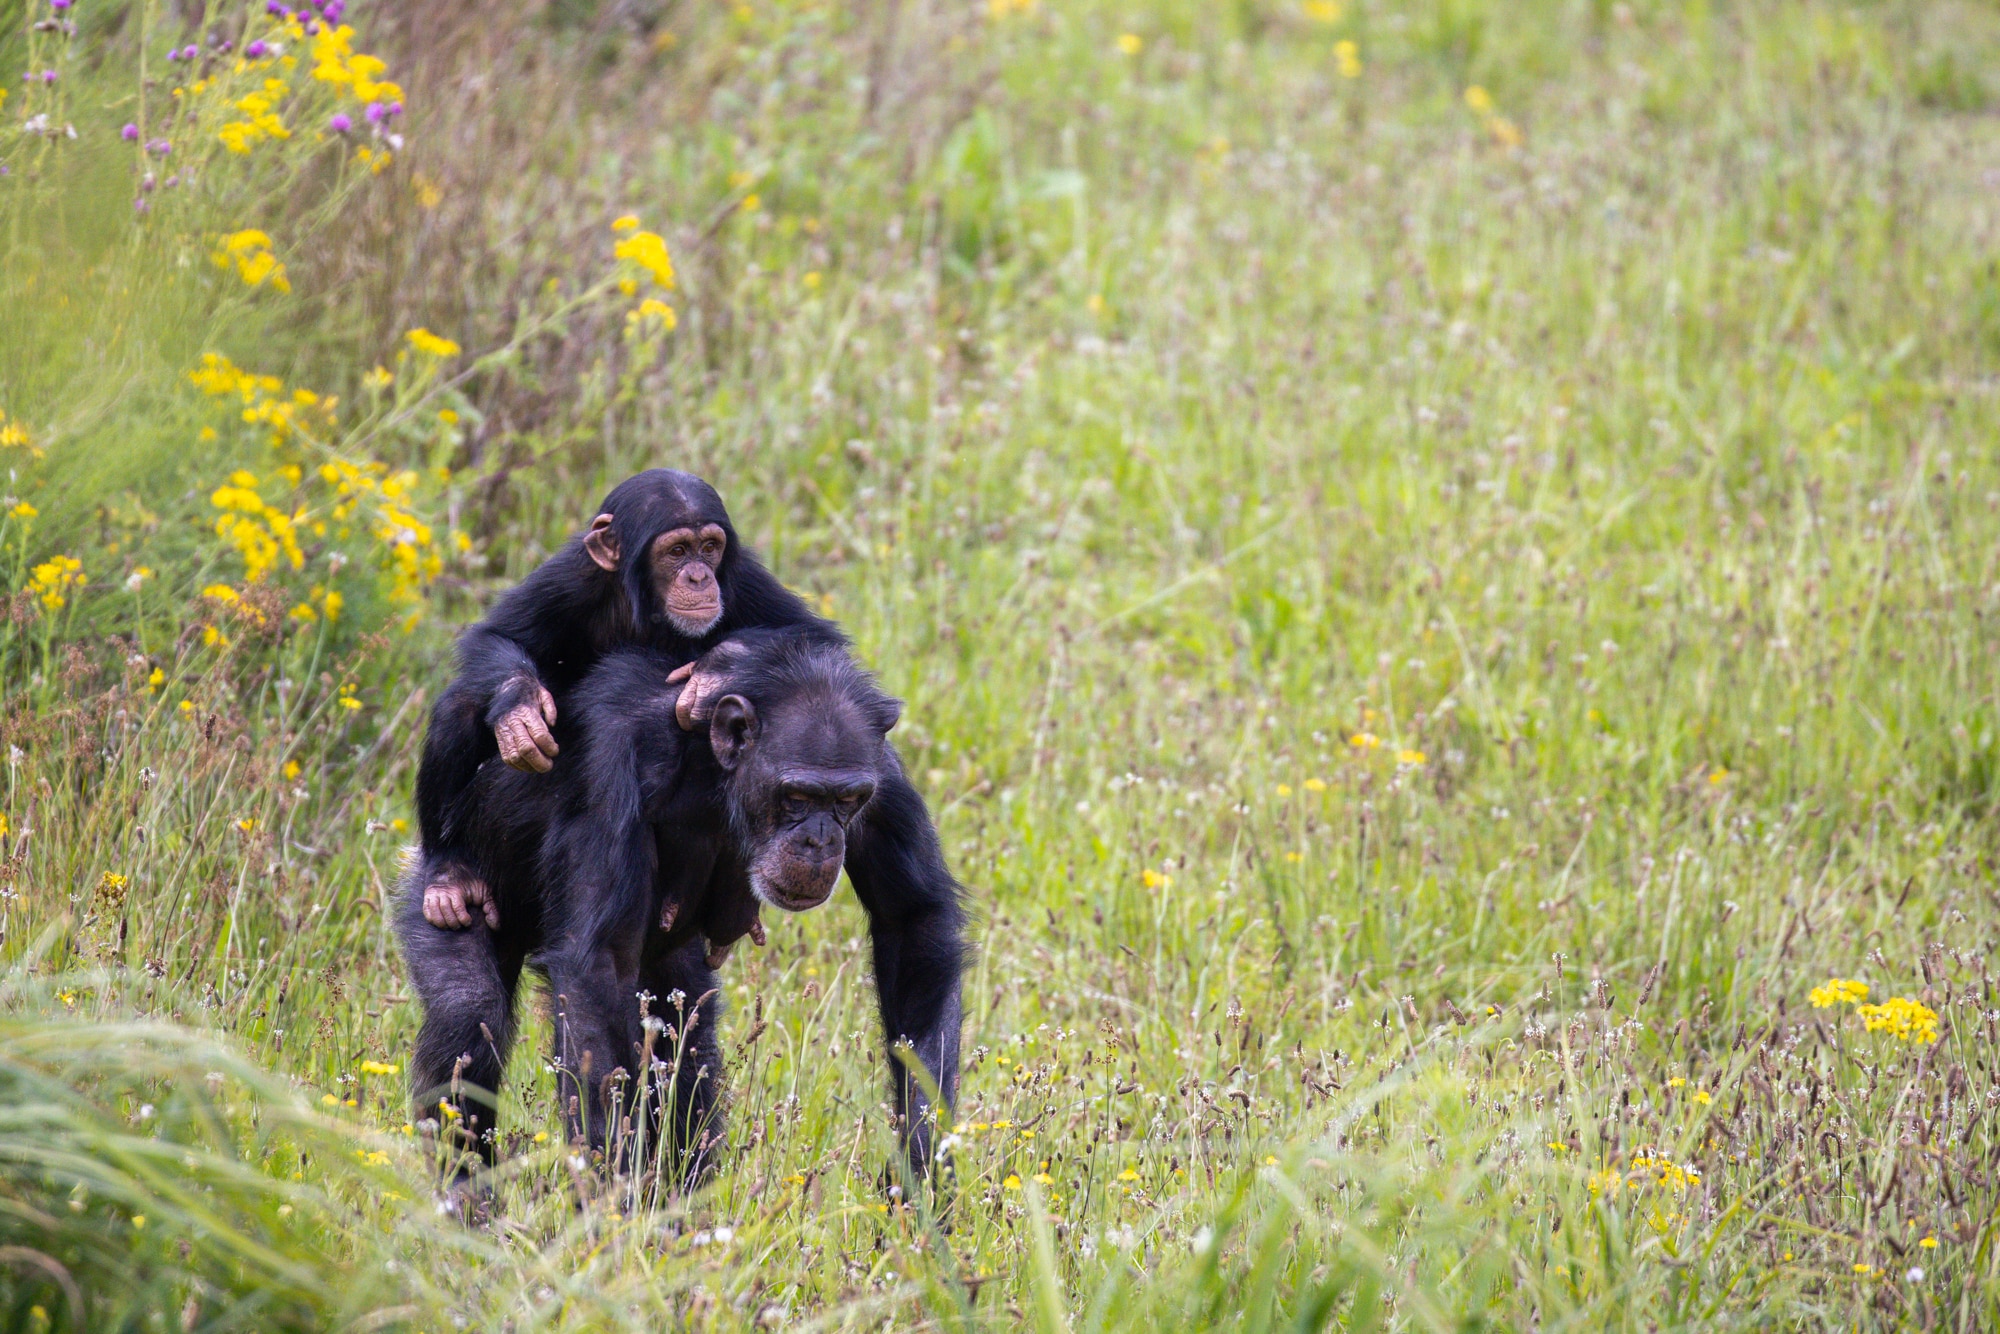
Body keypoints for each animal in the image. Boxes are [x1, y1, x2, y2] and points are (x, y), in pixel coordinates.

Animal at [394, 636, 964, 1192]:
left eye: (847, 799)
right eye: (797, 796)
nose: (820, 840)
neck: (715, 771)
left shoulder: (882, 776)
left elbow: (912, 921)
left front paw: (921, 1170)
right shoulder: (613, 759)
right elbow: (599, 962)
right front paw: (615, 1190)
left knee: (685, 1046)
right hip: (436, 891)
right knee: (468, 1015)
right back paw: (465, 1196)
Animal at [412, 474, 836, 936]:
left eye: (710, 547)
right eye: (677, 551)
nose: (699, 577)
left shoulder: (741, 579)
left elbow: (814, 638)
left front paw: (713, 673)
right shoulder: (569, 578)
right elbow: (499, 636)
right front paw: (520, 711)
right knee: (461, 705)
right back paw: (448, 876)